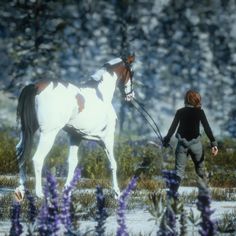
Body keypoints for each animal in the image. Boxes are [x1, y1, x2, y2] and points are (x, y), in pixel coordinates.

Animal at [15, 55, 135, 201]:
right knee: (37, 159)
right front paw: (117, 193)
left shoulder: (75, 137)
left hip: (26, 131)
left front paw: (67, 192)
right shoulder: (106, 139)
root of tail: (35, 86)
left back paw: (20, 191)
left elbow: (72, 162)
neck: (101, 95)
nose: (131, 96)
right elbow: (113, 164)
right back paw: (40, 194)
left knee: (20, 152)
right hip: (48, 134)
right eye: (132, 72)